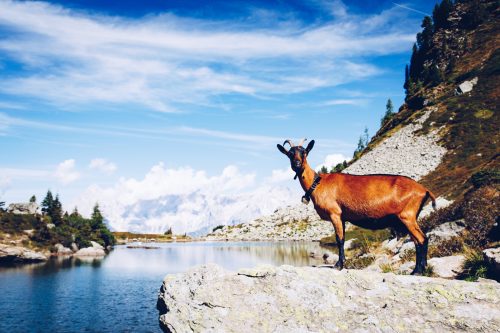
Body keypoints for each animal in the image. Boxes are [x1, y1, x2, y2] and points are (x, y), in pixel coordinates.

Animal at [280, 139, 436, 274]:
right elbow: (341, 238)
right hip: (409, 218)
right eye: (289, 153)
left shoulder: (335, 213)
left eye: (304, 152)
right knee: (418, 241)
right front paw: (341, 264)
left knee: (422, 239)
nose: (297, 164)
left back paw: (417, 271)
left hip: (407, 216)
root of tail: (424, 190)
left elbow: (339, 239)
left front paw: (338, 265)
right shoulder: (342, 217)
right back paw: (419, 270)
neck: (318, 183)